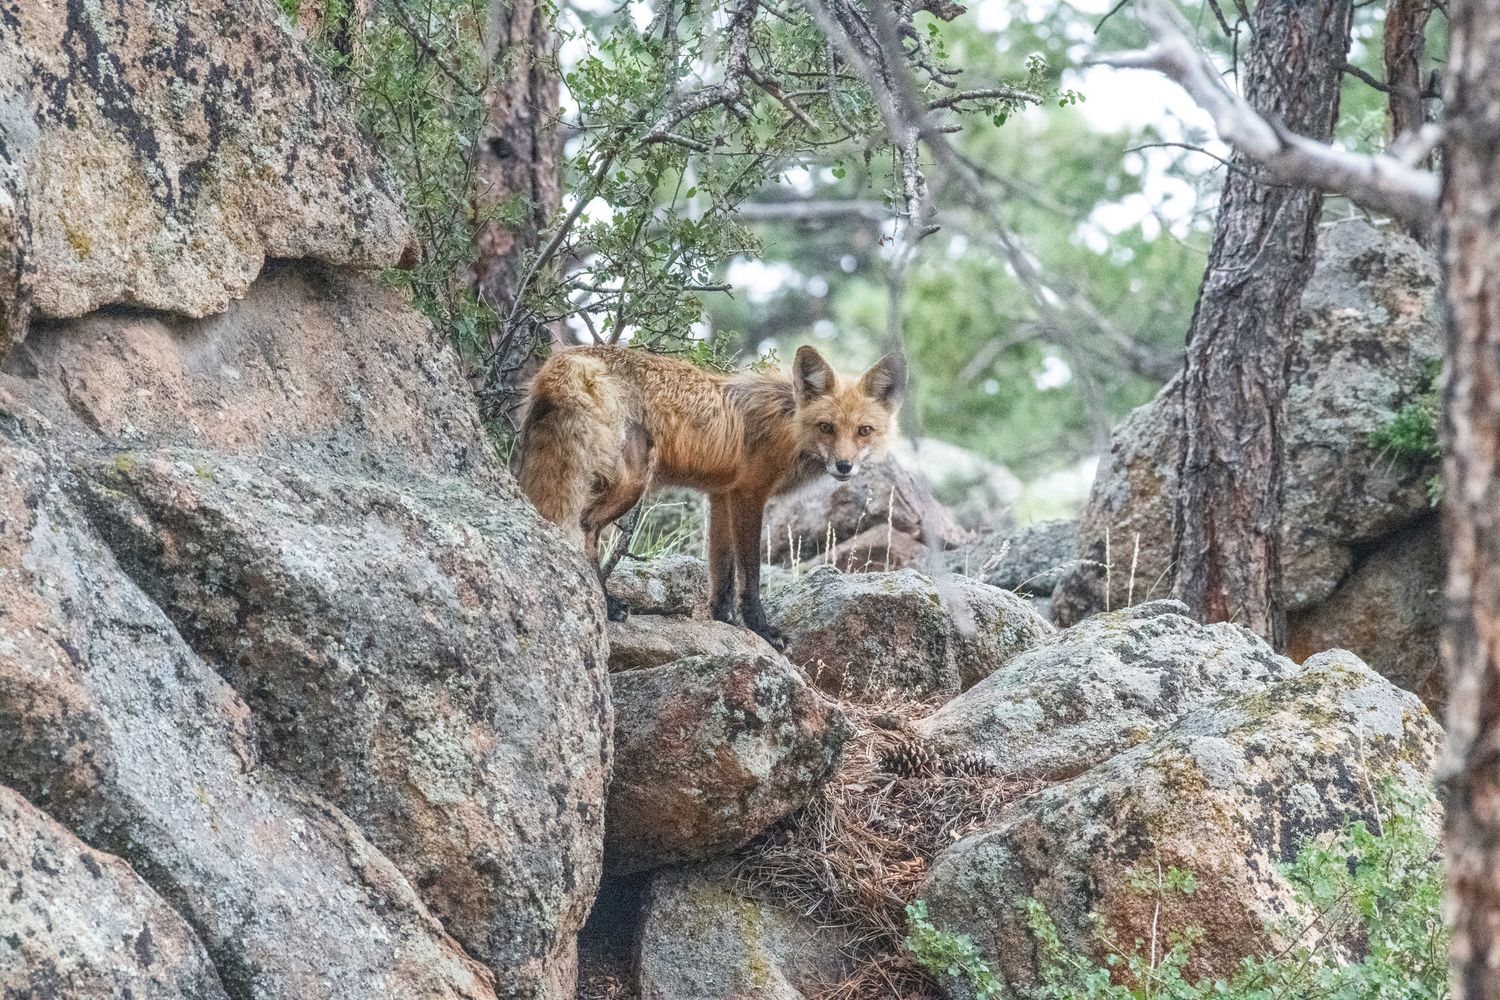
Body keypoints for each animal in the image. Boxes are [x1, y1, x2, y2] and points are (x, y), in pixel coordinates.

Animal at [516, 343, 906, 645]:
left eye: (864, 431)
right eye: (826, 427)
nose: (844, 466)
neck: (788, 423)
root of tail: (566, 359)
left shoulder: (721, 496)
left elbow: (722, 569)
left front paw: (724, 620)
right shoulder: (749, 494)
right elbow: (749, 574)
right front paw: (762, 630)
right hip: (631, 483)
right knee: (584, 526)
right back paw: (606, 603)